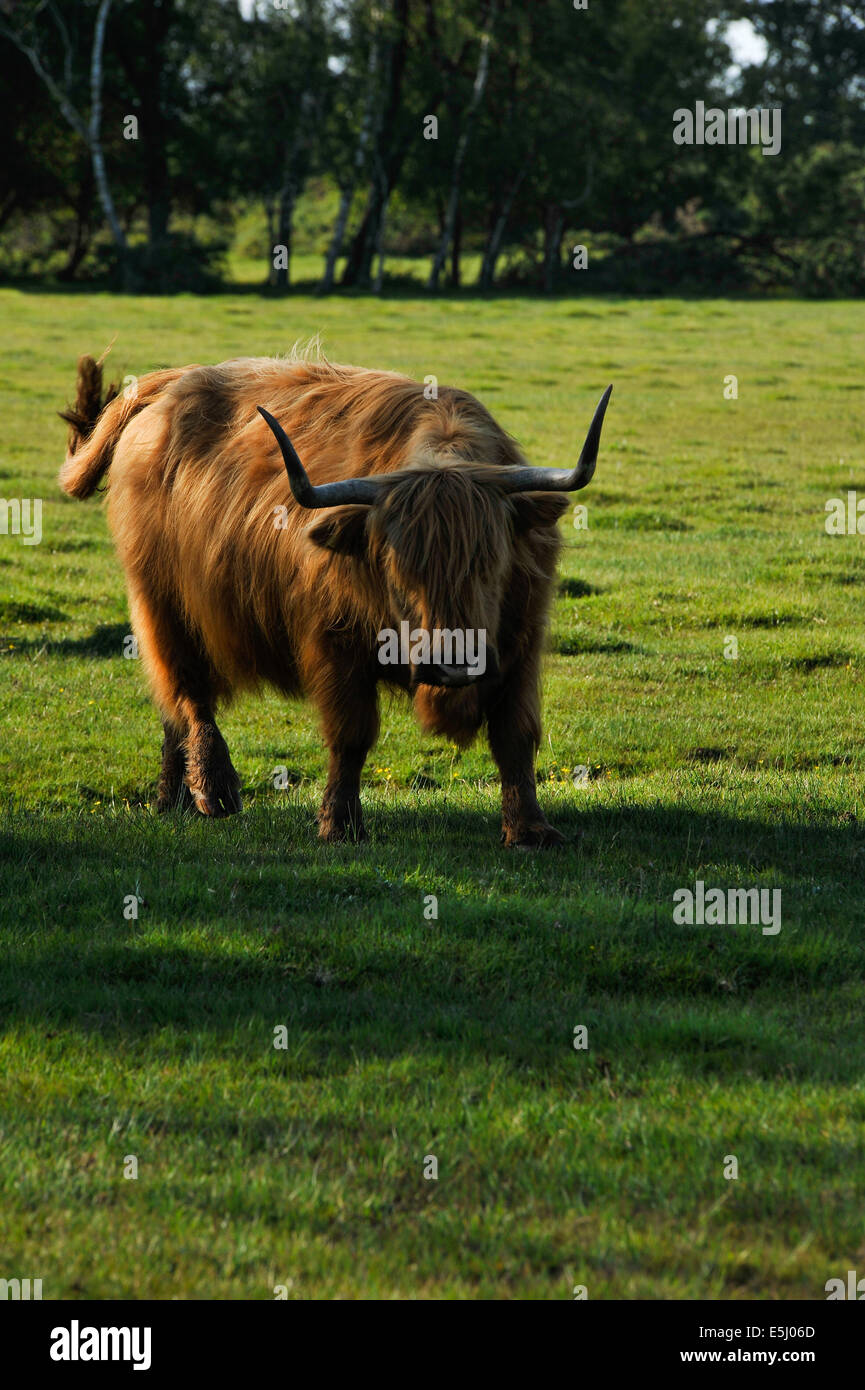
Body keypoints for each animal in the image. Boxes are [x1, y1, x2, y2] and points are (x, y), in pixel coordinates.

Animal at [59, 351, 611, 847]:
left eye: (490, 560)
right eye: (395, 566)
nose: (453, 664)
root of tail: (172, 382)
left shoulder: (522, 640)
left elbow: (516, 733)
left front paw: (530, 829)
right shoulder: (334, 641)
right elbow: (351, 735)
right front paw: (340, 825)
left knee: (172, 710)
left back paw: (171, 800)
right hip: (160, 603)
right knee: (187, 692)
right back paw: (214, 792)